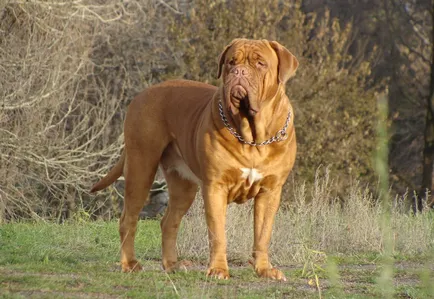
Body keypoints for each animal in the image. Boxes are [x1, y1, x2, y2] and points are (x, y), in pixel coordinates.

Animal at [91, 39, 298, 282]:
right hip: (140, 167)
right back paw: (130, 264)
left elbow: (263, 235)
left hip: (183, 186)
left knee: (169, 222)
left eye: (260, 63)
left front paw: (264, 270)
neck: (253, 136)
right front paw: (218, 270)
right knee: (128, 219)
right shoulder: (215, 187)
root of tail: (142, 94)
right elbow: (218, 234)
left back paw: (172, 265)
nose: (238, 72)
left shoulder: (270, 191)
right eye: (231, 62)